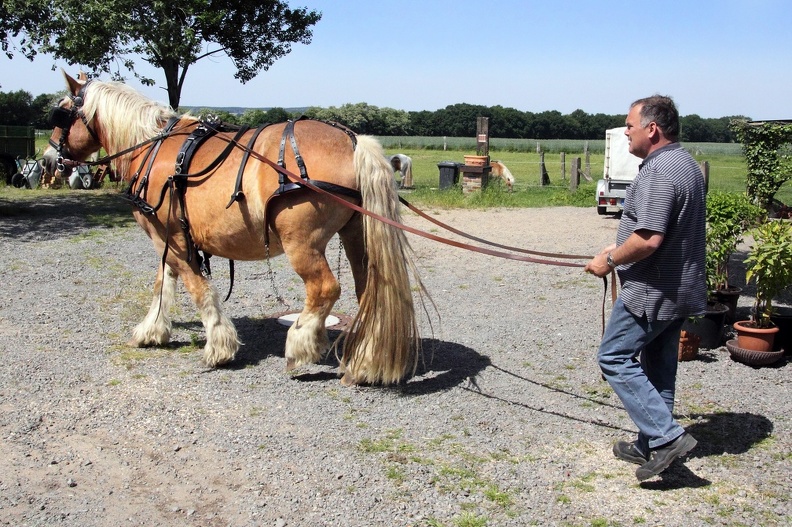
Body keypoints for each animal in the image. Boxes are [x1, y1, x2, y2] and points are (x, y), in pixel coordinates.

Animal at [44, 72, 426, 386]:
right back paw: (364, 359)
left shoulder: (170, 237)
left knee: (325, 289)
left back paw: (300, 345)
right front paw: (151, 330)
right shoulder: (166, 238)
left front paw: (218, 345)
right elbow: (161, 285)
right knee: (370, 288)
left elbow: (198, 290)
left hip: (302, 244)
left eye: (61, 113)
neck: (150, 146)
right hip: (355, 234)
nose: (49, 160)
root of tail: (352, 140)